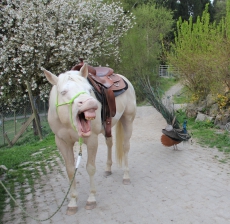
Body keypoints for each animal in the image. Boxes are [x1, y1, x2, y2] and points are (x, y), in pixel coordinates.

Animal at [42, 63, 136, 215]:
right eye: (63, 92)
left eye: (90, 90)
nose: (91, 103)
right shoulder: (62, 142)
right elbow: (70, 170)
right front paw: (72, 202)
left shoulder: (91, 140)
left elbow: (90, 168)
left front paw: (91, 199)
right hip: (107, 127)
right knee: (110, 143)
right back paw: (108, 169)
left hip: (127, 120)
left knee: (125, 147)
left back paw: (126, 176)